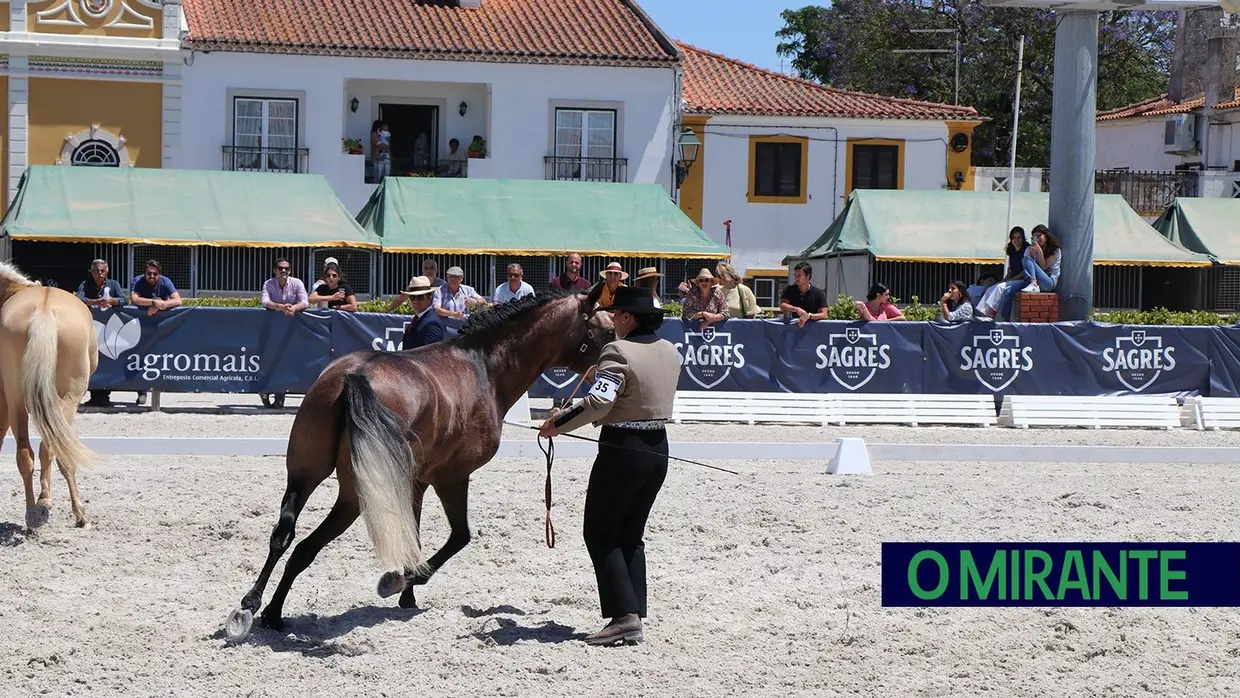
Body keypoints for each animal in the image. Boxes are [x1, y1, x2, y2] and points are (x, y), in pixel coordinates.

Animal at [0, 262, 97, 530]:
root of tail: (43, 310)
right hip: (67, 399)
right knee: (54, 447)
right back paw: (78, 514)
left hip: (17, 400)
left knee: (26, 454)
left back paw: (32, 512)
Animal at [231, 286, 610, 634]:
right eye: (605, 329)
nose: (606, 371)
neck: (483, 368)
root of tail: (355, 375)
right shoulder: (451, 478)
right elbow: (458, 537)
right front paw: (403, 583)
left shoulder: (414, 482)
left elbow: (411, 535)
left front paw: (406, 593)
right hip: (353, 495)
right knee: (306, 546)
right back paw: (272, 612)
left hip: (305, 473)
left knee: (284, 534)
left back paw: (256, 604)